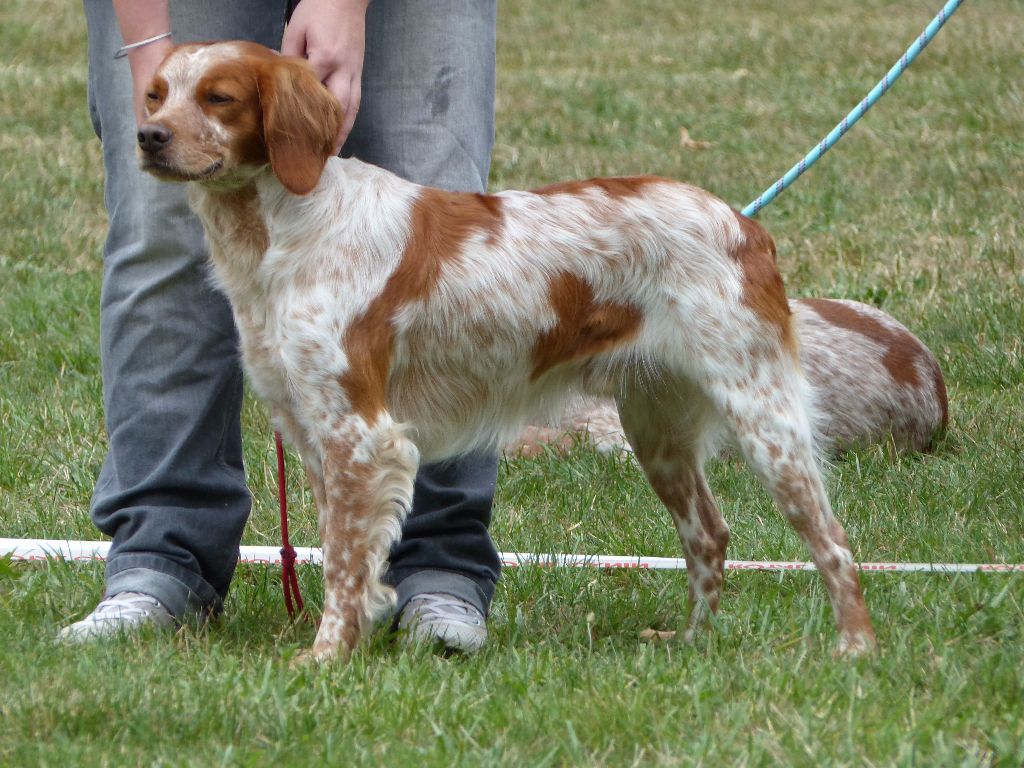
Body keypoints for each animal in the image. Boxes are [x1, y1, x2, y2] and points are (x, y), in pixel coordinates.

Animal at [134, 41, 872, 663]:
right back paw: (692, 642)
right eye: (156, 95)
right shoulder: (318, 437)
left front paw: (325, 658)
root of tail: (743, 225)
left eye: (219, 97)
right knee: (710, 536)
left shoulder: (360, 435)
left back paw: (855, 649)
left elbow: (344, 567)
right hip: (657, 432)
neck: (285, 227)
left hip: (763, 415)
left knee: (834, 542)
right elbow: (347, 558)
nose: (149, 136)